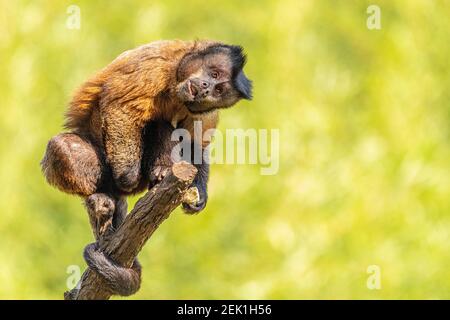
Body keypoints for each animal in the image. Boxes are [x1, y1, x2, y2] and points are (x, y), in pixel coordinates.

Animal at [41, 40, 253, 298]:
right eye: (213, 74)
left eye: (219, 89)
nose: (206, 87)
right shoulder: (156, 66)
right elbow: (119, 106)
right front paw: (127, 175)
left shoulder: (206, 110)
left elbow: (196, 142)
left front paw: (200, 193)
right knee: (61, 147)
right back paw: (102, 198)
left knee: (163, 124)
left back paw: (158, 173)